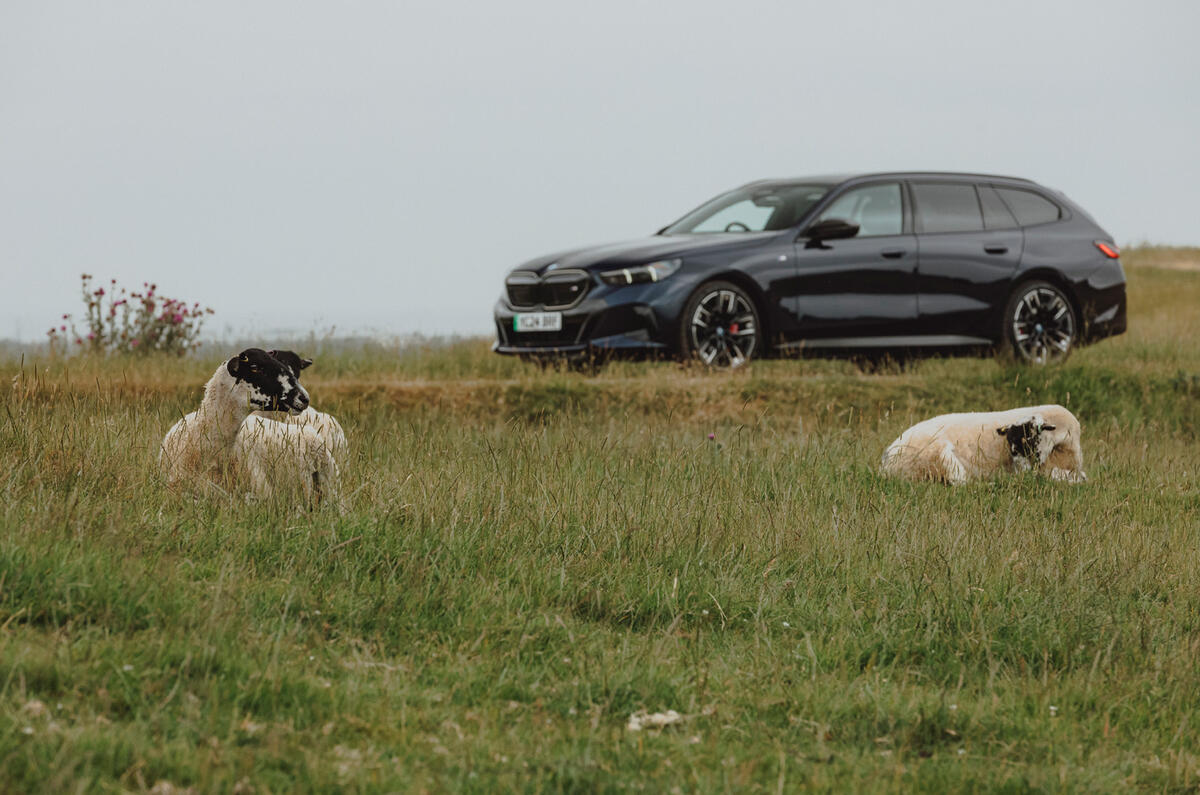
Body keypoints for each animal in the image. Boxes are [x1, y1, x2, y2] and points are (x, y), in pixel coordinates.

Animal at [883, 405, 1089, 485]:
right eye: (1011, 444)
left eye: (1028, 440)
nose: (1022, 475)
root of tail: (886, 463)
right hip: (938, 455)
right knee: (960, 483)